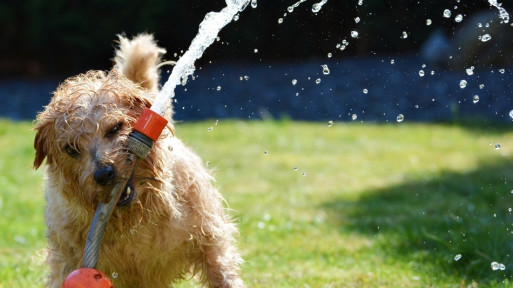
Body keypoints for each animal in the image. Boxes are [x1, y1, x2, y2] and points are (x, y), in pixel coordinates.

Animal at [32, 34, 244, 288]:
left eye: (115, 128)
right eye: (71, 149)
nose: (104, 174)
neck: (135, 219)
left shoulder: (210, 241)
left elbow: (222, 272)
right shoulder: (68, 259)